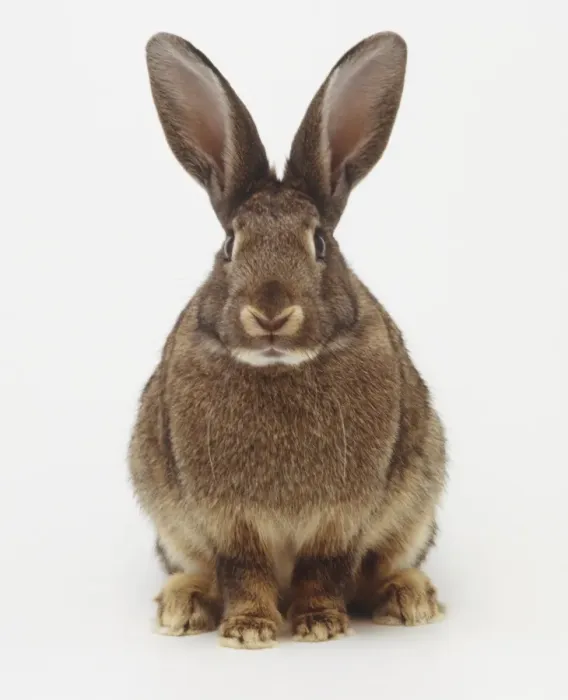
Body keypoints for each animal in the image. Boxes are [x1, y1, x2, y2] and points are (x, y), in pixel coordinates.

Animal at [129, 30, 447, 649]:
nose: (270, 314)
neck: (278, 366)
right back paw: (183, 607)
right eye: (230, 244)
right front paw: (249, 630)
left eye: (320, 242)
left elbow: (323, 569)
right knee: (196, 570)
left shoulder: (340, 518)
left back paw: (408, 600)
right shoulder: (228, 521)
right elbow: (243, 570)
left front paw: (320, 626)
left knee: (381, 567)